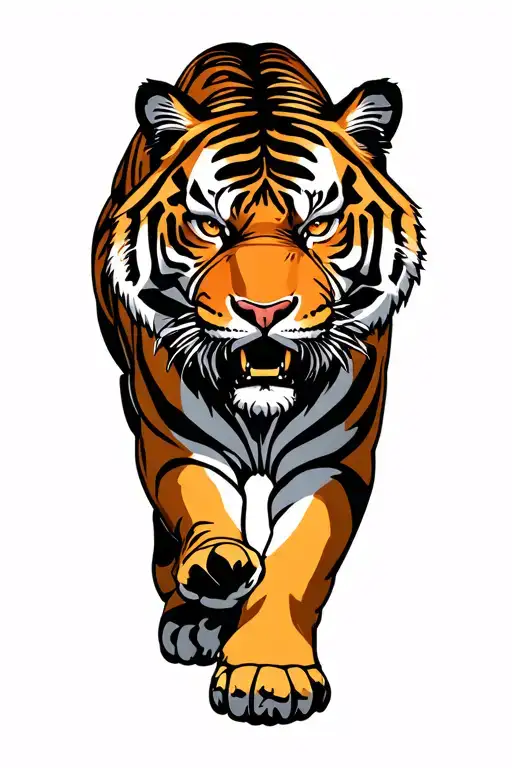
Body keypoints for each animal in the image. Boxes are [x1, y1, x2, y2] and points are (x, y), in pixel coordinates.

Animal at [92, 41, 424, 725]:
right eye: (211, 227)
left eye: (318, 225)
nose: (263, 310)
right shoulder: (178, 441)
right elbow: (197, 504)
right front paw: (218, 569)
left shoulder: (332, 460)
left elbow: (298, 560)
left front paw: (269, 674)